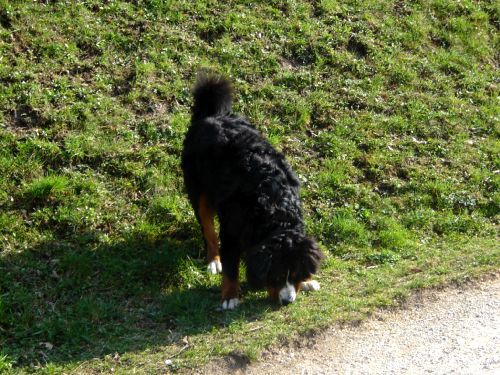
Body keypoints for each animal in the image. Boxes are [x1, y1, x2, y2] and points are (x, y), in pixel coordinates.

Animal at [181, 72, 324, 310]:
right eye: (276, 276)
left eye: (294, 274)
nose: (287, 301)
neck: (275, 209)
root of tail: (213, 114)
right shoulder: (231, 230)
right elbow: (231, 266)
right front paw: (230, 296)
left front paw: (308, 281)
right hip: (198, 189)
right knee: (207, 228)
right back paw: (213, 261)